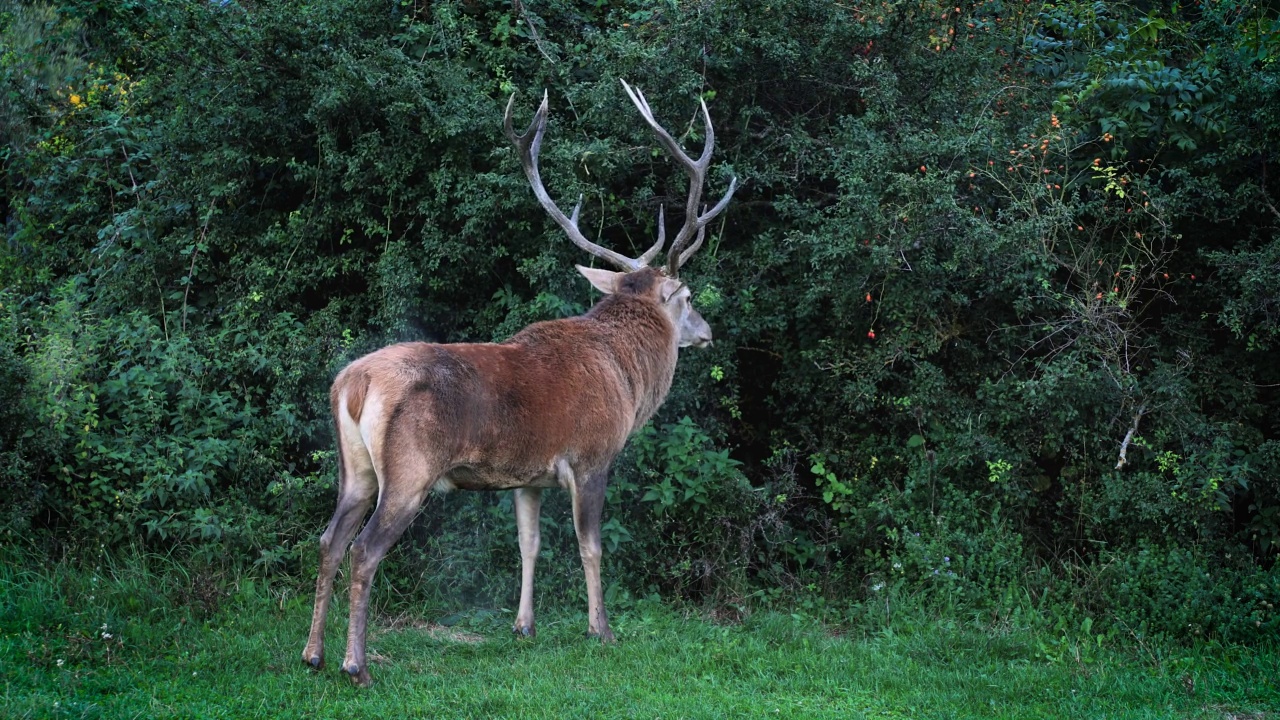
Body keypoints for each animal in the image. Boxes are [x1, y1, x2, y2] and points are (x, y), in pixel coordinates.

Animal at [299, 79, 737, 681]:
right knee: (364, 551)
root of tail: (353, 384)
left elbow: (529, 544)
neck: (627, 379)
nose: (709, 332)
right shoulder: (591, 457)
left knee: (328, 541)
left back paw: (313, 653)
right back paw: (355, 665)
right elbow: (590, 547)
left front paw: (523, 626)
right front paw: (602, 631)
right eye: (688, 298)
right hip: (409, 471)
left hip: (355, 469)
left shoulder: (528, 476)